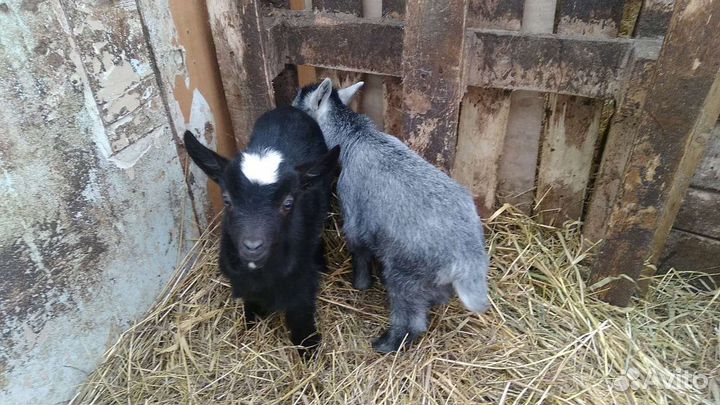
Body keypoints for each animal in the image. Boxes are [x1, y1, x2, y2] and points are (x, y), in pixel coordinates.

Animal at [183, 106, 339, 357]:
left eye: (288, 203)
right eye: (227, 200)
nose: (252, 246)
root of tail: (289, 109)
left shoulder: (301, 279)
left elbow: (301, 311)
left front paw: (308, 347)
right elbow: (251, 299)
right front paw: (250, 322)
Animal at [293, 79, 490, 353]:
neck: (357, 137)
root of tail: (466, 255)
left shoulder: (354, 215)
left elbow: (358, 247)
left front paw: (361, 284)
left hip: (404, 273)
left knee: (412, 318)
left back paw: (388, 343)